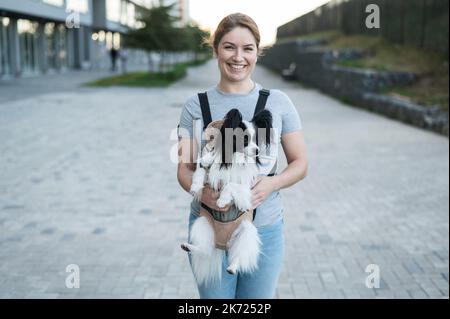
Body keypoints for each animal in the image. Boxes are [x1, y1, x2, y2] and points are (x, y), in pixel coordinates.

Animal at [180, 109, 272, 286]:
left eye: (257, 140)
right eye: (245, 139)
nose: (257, 150)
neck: (235, 158)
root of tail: (222, 245)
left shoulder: (245, 190)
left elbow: (231, 185)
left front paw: (222, 200)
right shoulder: (209, 169)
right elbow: (201, 171)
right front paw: (195, 188)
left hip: (247, 232)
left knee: (239, 255)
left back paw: (232, 267)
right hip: (202, 224)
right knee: (205, 249)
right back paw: (189, 247)